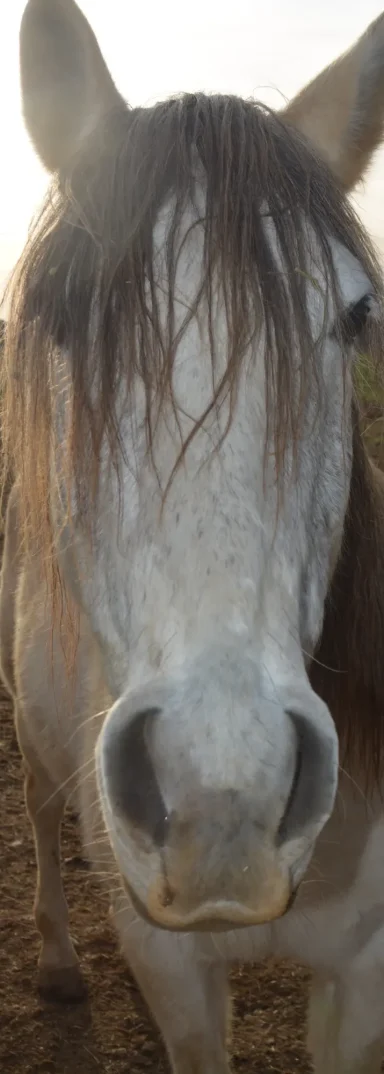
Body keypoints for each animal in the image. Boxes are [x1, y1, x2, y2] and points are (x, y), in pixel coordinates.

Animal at [2, 2, 384, 1074]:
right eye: (57, 311)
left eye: (357, 315)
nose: (224, 799)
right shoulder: (167, 965)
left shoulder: (363, 978)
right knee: (40, 811)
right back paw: (57, 964)